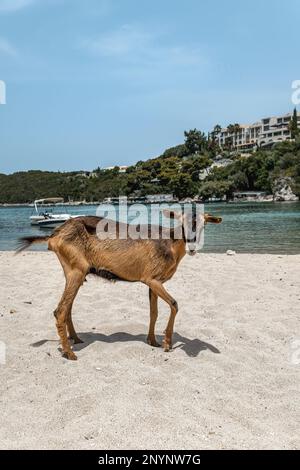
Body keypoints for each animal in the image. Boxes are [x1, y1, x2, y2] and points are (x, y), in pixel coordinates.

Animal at [18, 211, 220, 362]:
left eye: (204, 225)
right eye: (181, 222)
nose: (192, 248)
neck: (169, 244)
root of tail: (54, 235)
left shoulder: (154, 282)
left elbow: (153, 312)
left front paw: (153, 341)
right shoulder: (151, 279)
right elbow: (174, 304)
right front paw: (167, 343)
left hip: (75, 273)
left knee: (67, 308)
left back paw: (75, 339)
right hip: (76, 270)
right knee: (60, 310)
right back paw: (69, 353)